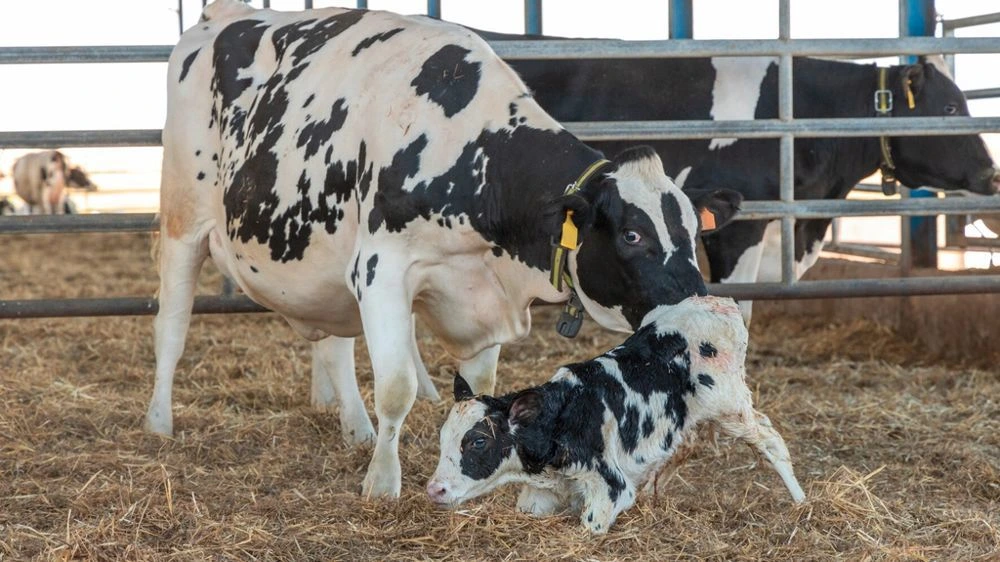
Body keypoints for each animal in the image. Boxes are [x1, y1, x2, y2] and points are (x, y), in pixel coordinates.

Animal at [149, 0, 740, 499]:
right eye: (632, 235)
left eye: (694, 230)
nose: (701, 309)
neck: (470, 156)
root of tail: (225, 14)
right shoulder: (380, 269)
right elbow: (395, 386)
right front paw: (382, 485)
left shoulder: (480, 290)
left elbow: (479, 387)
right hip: (183, 221)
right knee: (171, 328)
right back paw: (159, 422)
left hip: (322, 264)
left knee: (334, 347)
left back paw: (356, 428)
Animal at [427, 295, 806, 534]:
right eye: (443, 438)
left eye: (478, 441)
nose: (435, 489)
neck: (564, 417)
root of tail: (717, 303)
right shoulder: (546, 493)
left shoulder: (610, 486)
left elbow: (589, 525)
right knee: (684, 447)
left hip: (730, 407)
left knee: (770, 440)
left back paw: (801, 502)